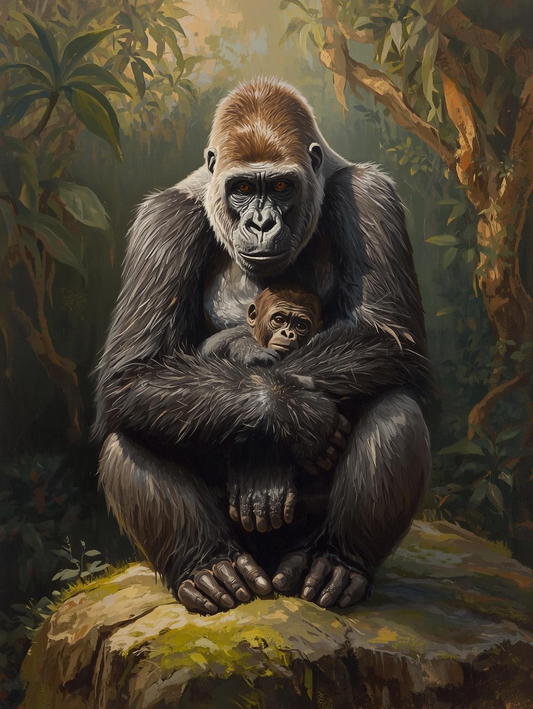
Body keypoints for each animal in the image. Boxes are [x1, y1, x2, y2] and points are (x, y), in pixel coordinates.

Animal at [95, 77, 432, 616]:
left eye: (279, 187)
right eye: (241, 189)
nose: (260, 224)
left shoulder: (369, 195)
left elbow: (388, 334)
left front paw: (276, 443)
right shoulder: (163, 220)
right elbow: (134, 370)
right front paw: (292, 412)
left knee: (396, 405)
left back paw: (336, 562)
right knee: (130, 431)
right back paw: (209, 567)